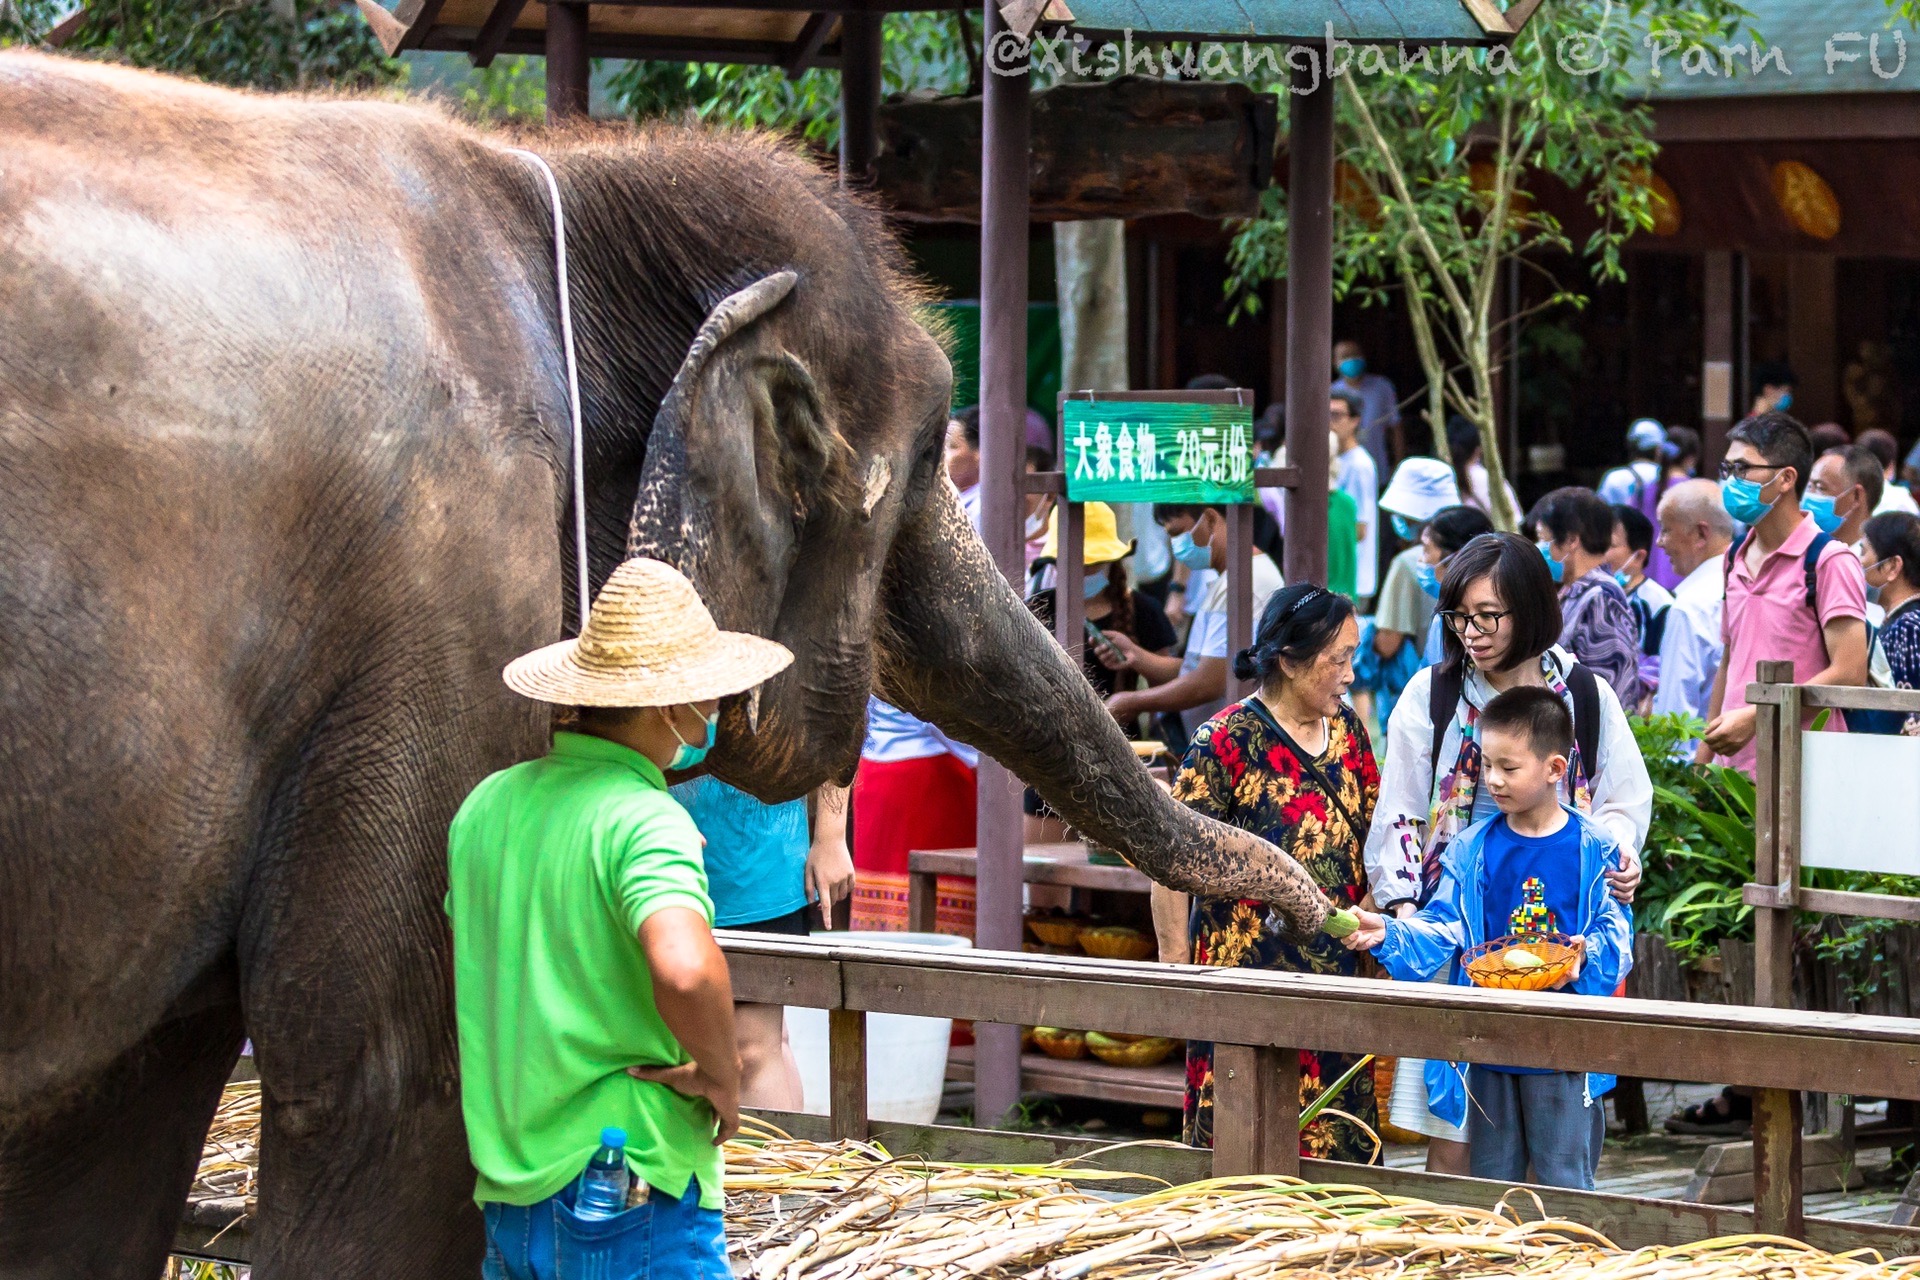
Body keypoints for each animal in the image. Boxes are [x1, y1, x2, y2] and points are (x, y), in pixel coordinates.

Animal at [0, 50, 1328, 1280]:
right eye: (914, 478)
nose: (1328, 910)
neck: (574, 189)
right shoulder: (441, 620)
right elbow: (395, 1096)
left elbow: (103, 1136)